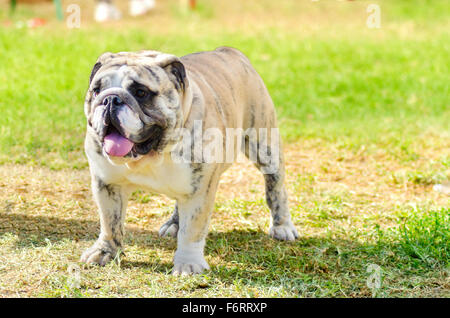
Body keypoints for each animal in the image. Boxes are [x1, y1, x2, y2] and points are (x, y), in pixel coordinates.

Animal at [81, 46, 298, 274]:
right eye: (96, 90)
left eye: (141, 92)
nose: (110, 99)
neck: (152, 154)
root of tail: (230, 51)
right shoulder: (108, 185)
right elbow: (110, 223)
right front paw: (105, 251)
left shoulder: (200, 192)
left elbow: (192, 230)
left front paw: (188, 264)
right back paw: (174, 224)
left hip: (266, 147)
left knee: (275, 188)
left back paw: (282, 226)